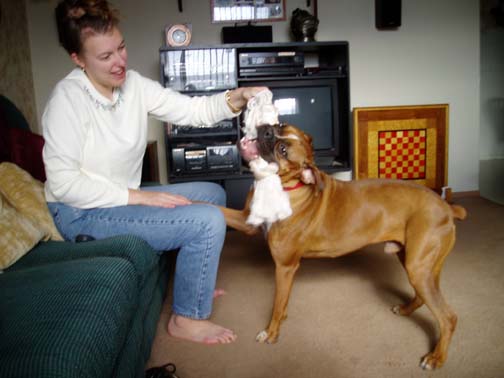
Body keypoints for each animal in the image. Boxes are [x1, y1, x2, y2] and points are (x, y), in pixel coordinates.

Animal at [219, 123, 466, 370]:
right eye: (281, 126)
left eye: (283, 149)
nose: (268, 129)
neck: (287, 185)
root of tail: (446, 206)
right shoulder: (246, 222)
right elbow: (217, 209)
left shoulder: (285, 267)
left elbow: (277, 304)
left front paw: (271, 332)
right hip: (417, 264)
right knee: (424, 297)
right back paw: (405, 310)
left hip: (418, 268)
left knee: (448, 317)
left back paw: (436, 358)